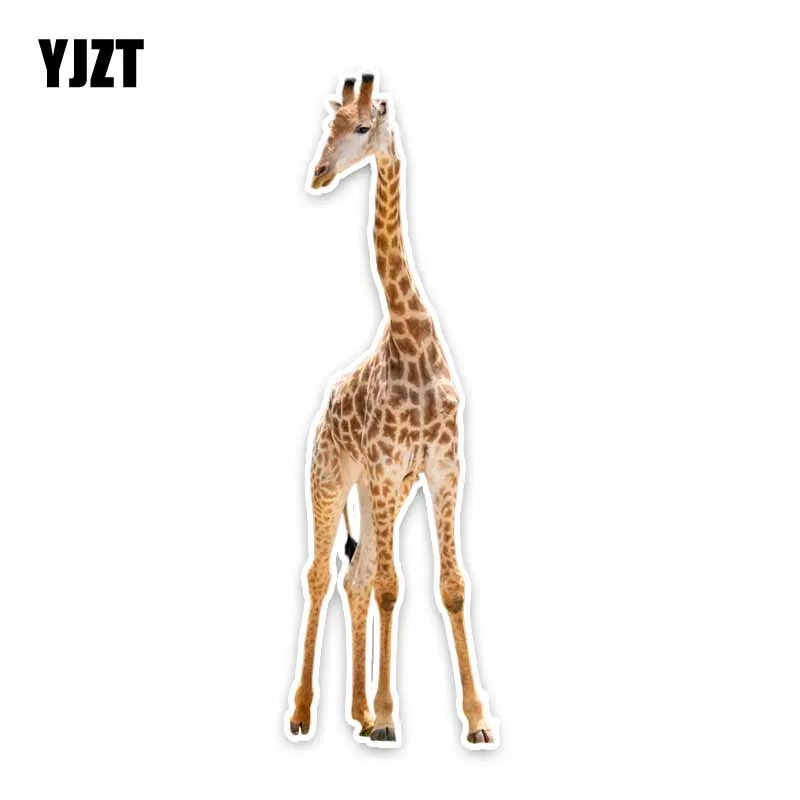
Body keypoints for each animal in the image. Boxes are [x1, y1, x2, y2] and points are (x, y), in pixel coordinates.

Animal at [285, 74, 496, 749]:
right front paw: (385, 716)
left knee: (354, 575)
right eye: (327, 127)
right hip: (331, 477)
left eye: (361, 127)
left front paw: (477, 721)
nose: (320, 173)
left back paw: (354, 711)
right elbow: (390, 587)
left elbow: (450, 587)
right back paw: (306, 713)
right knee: (322, 574)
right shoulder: (382, 467)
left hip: (388, 490)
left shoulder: (441, 468)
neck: (410, 333)